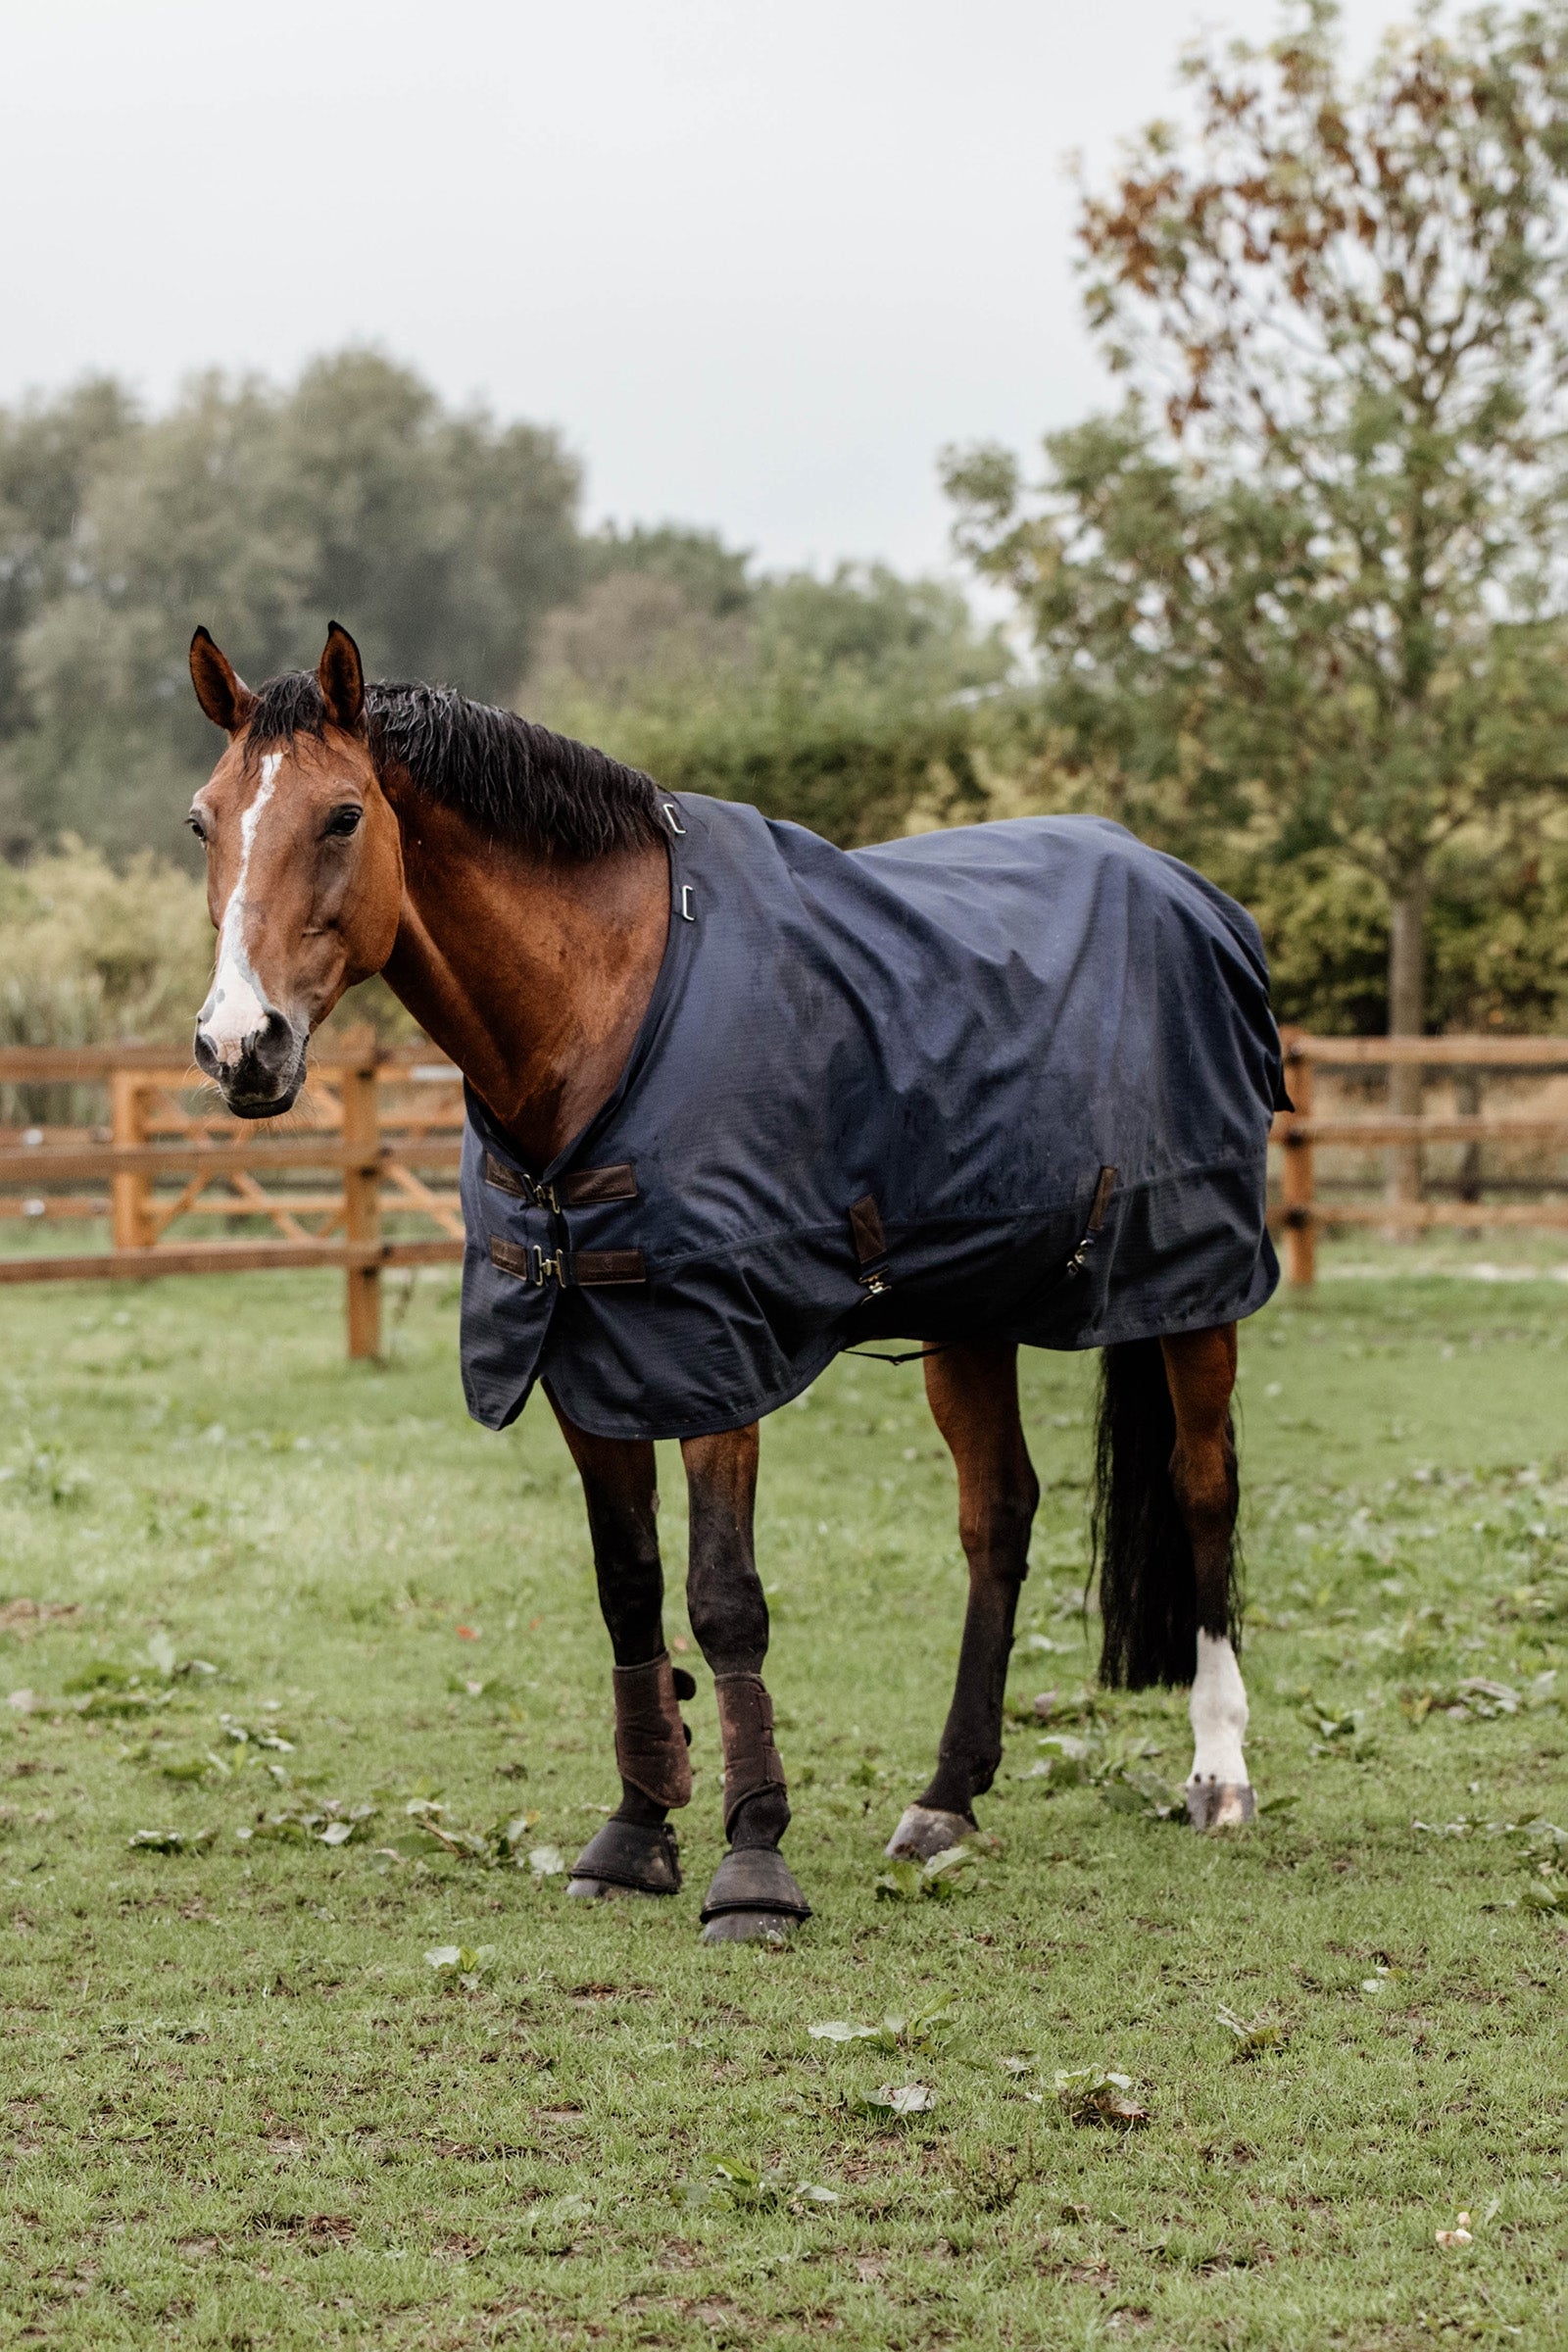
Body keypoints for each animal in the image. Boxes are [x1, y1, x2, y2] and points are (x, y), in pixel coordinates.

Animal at [185, 621, 1280, 1943]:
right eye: (204, 821)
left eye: (343, 816)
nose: (239, 1046)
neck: (602, 1012)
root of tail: (1179, 884)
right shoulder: (584, 1359)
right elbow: (628, 1588)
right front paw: (632, 1833)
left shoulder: (712, 1357)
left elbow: (722, 1599)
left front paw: (752, 1864)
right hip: (969, 1310)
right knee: (998, 1519)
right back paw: (946, 1797)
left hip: (1196, 1288)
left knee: (1204, 1491)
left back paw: (1218, 1775)